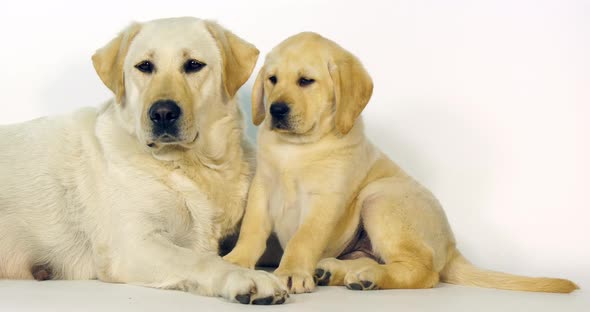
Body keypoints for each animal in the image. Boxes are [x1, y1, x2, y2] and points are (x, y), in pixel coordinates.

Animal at [0, 17, 290, 304]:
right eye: (145, 66)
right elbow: (200, 260)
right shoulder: (133, 244)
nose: (162, 113)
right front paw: (246, 277)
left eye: (193, 65)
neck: (191, 164)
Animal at [224, 32, 580, 294]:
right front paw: (237, 261)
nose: (276, 110)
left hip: (380, 197)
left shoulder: (325, 200)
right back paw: (337, 271)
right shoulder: (262, 189)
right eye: (272, 79)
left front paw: (292, 271)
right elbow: (252, 230)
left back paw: (367, 276)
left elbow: (303, 238)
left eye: (306, 81)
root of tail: (451, 246)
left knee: (423, 273)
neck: (296, 148)